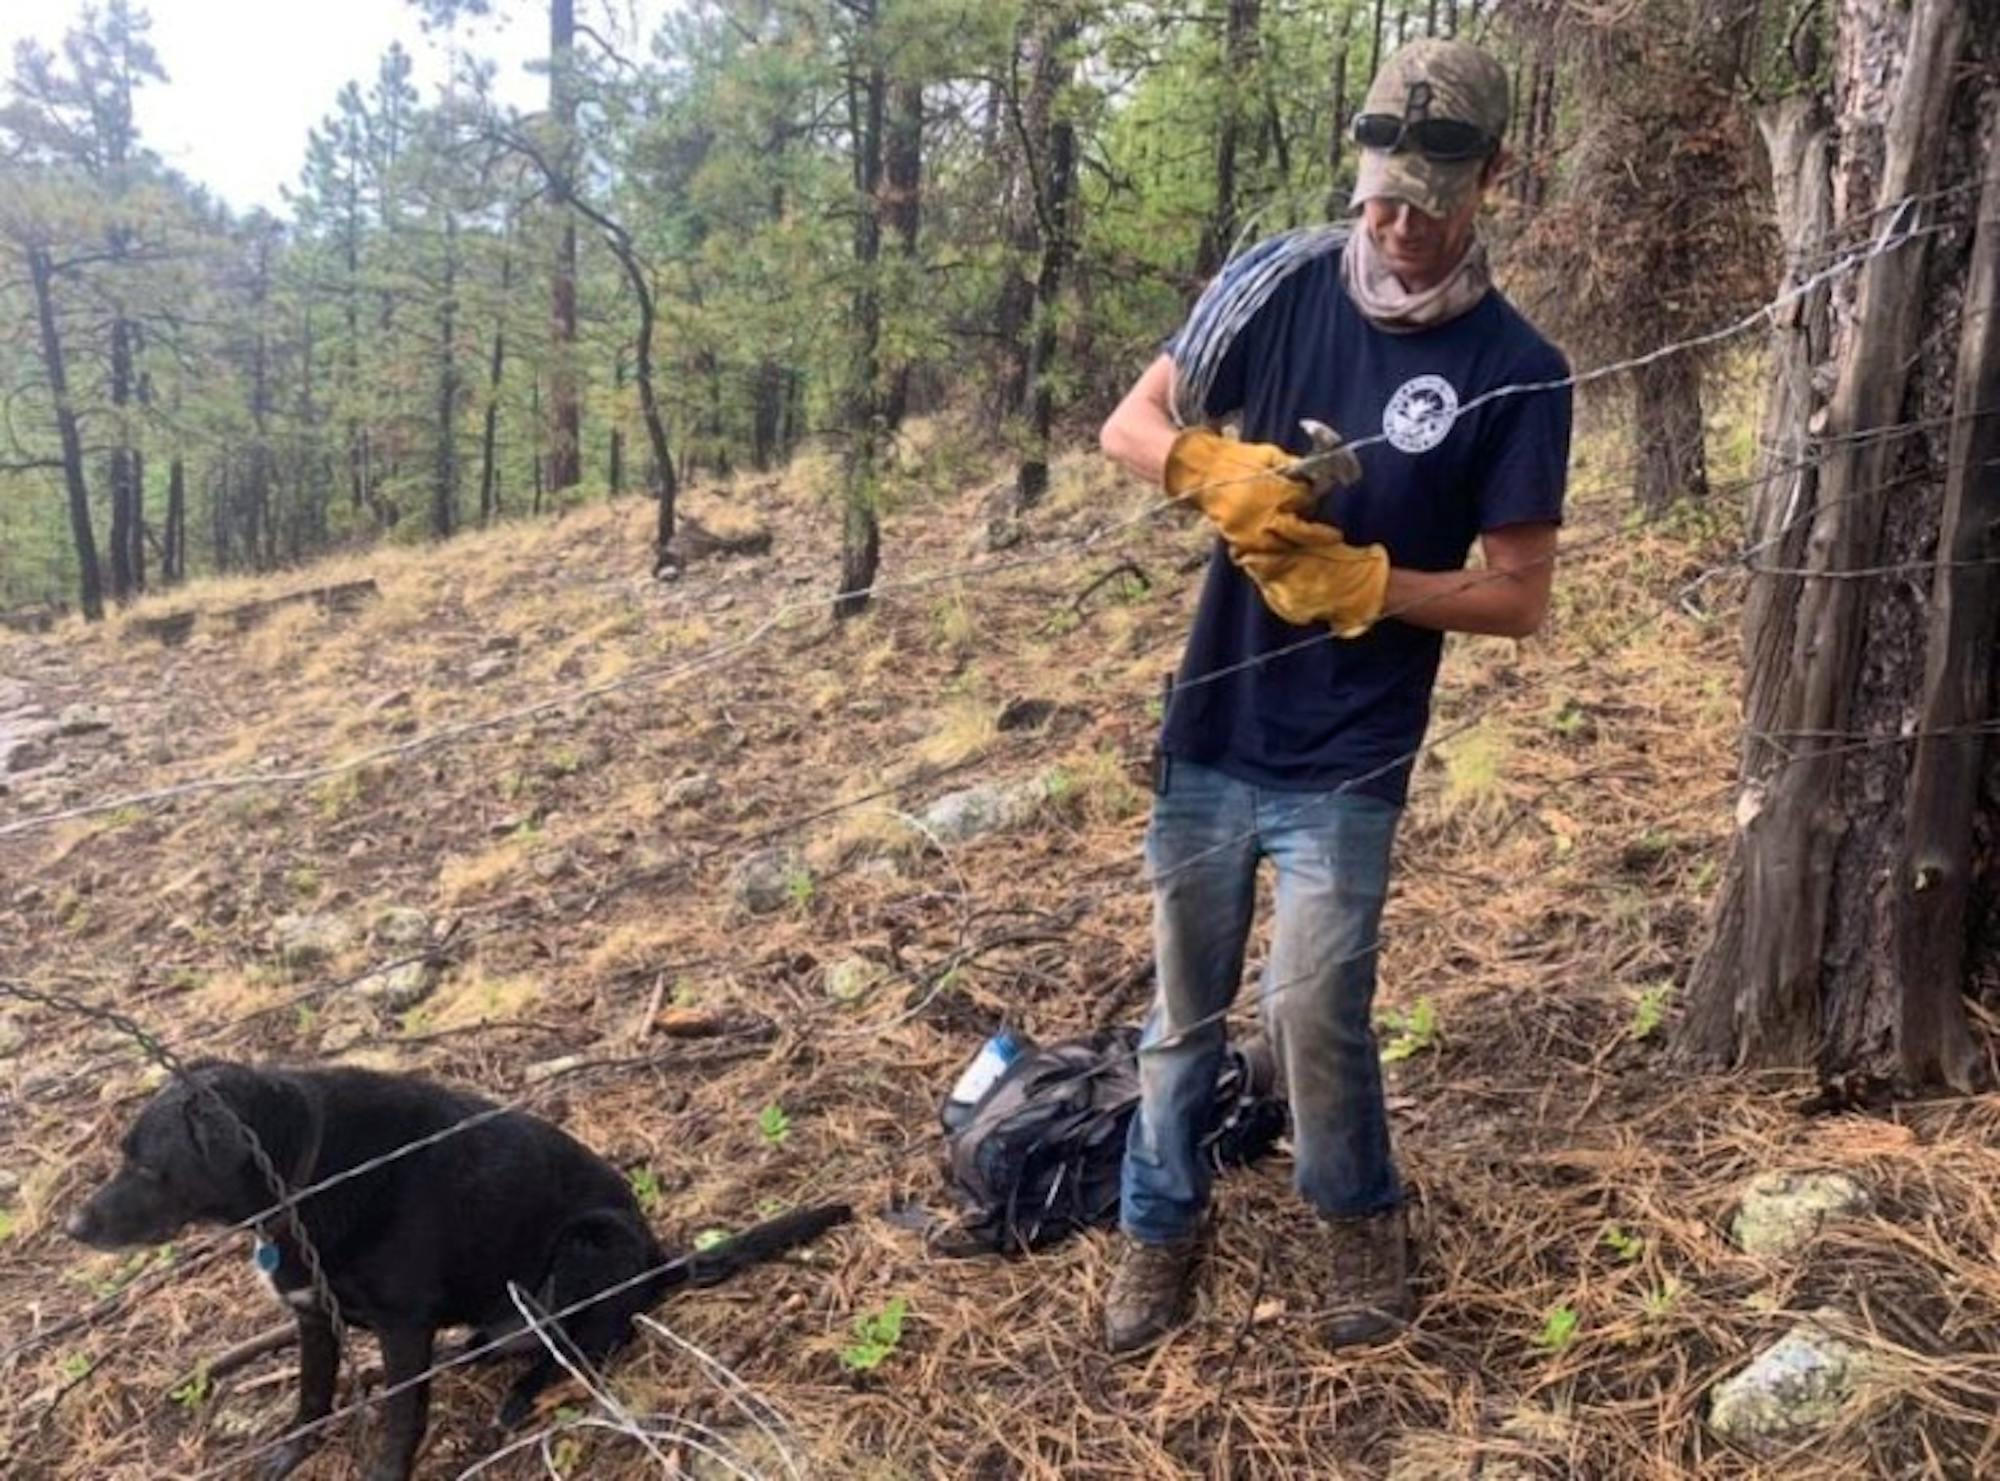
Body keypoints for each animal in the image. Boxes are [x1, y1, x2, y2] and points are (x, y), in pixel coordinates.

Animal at [66, 1064, 848, 1481]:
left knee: (591, 1344)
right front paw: (290, 1454)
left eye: (146, 1167)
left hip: (588, 1245)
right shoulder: (313, 1316)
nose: (73, 1227)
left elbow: (401, 1419)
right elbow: (312, 1397)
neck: (306, 1174)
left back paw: (521, 1396)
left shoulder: (402, 1322)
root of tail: (658, 1259)